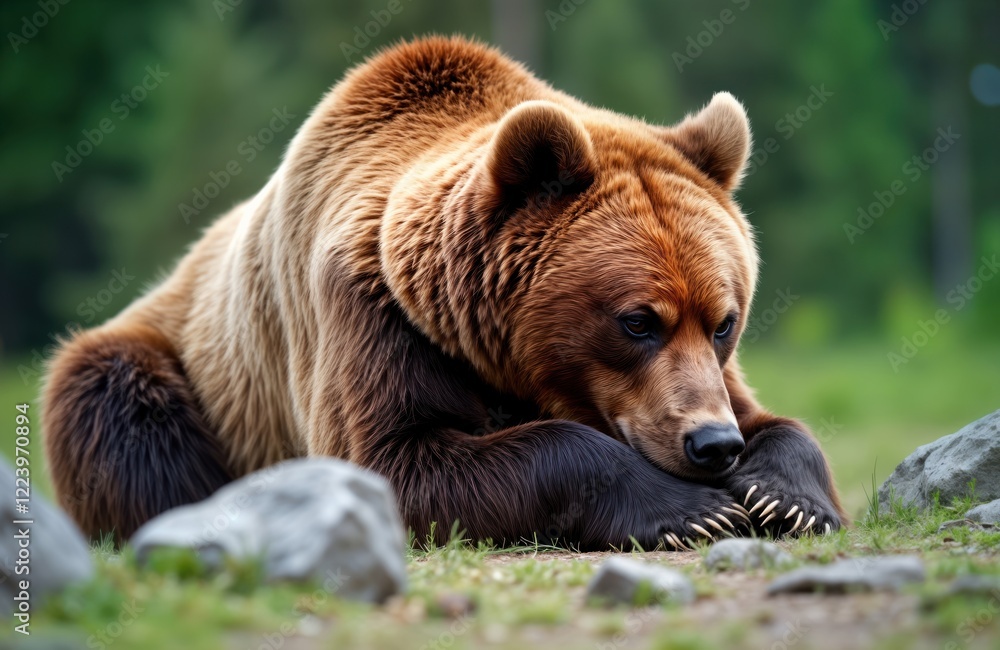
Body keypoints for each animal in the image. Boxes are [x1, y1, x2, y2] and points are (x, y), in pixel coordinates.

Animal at [43, 36, 845, 549]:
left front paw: (786, 497)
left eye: (723, 321)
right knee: (118, 410)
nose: (711, 445)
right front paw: (690, 511)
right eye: (637, 321)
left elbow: (775, 422)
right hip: (179, 363)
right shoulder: (371, 314)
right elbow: (400, 463)